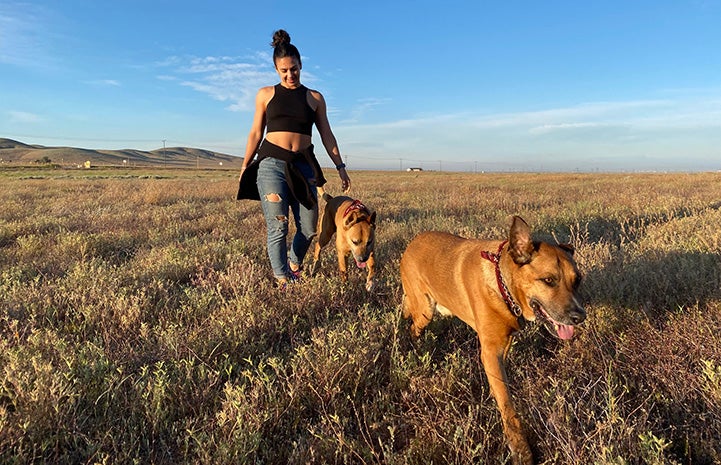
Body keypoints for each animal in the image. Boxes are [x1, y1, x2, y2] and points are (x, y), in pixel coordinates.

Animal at [400, 216, 584, 462]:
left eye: (577, 280)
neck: (502, 284)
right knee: (413, 326)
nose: (580, 316)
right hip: (424, 311)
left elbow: (499, 387)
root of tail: (413, 242)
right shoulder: (490, 351)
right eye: (548, 280)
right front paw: (521, 450)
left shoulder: (501, 347)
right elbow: (508, 406)